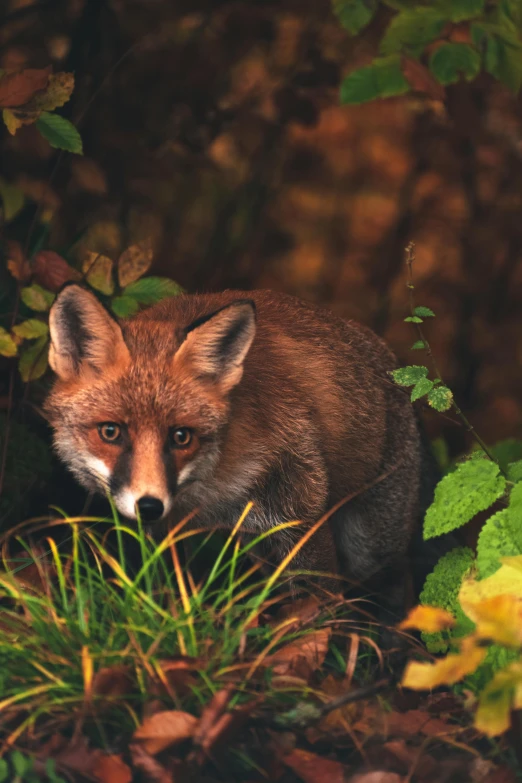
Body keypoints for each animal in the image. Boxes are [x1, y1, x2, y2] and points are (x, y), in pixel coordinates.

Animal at [44, 284, 436, 616]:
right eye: (110, 432)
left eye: (181, 436)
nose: (150, 506)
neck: (211, 489)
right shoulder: (165, 536)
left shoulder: (301, 511)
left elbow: (320, 601)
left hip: (371, 544)